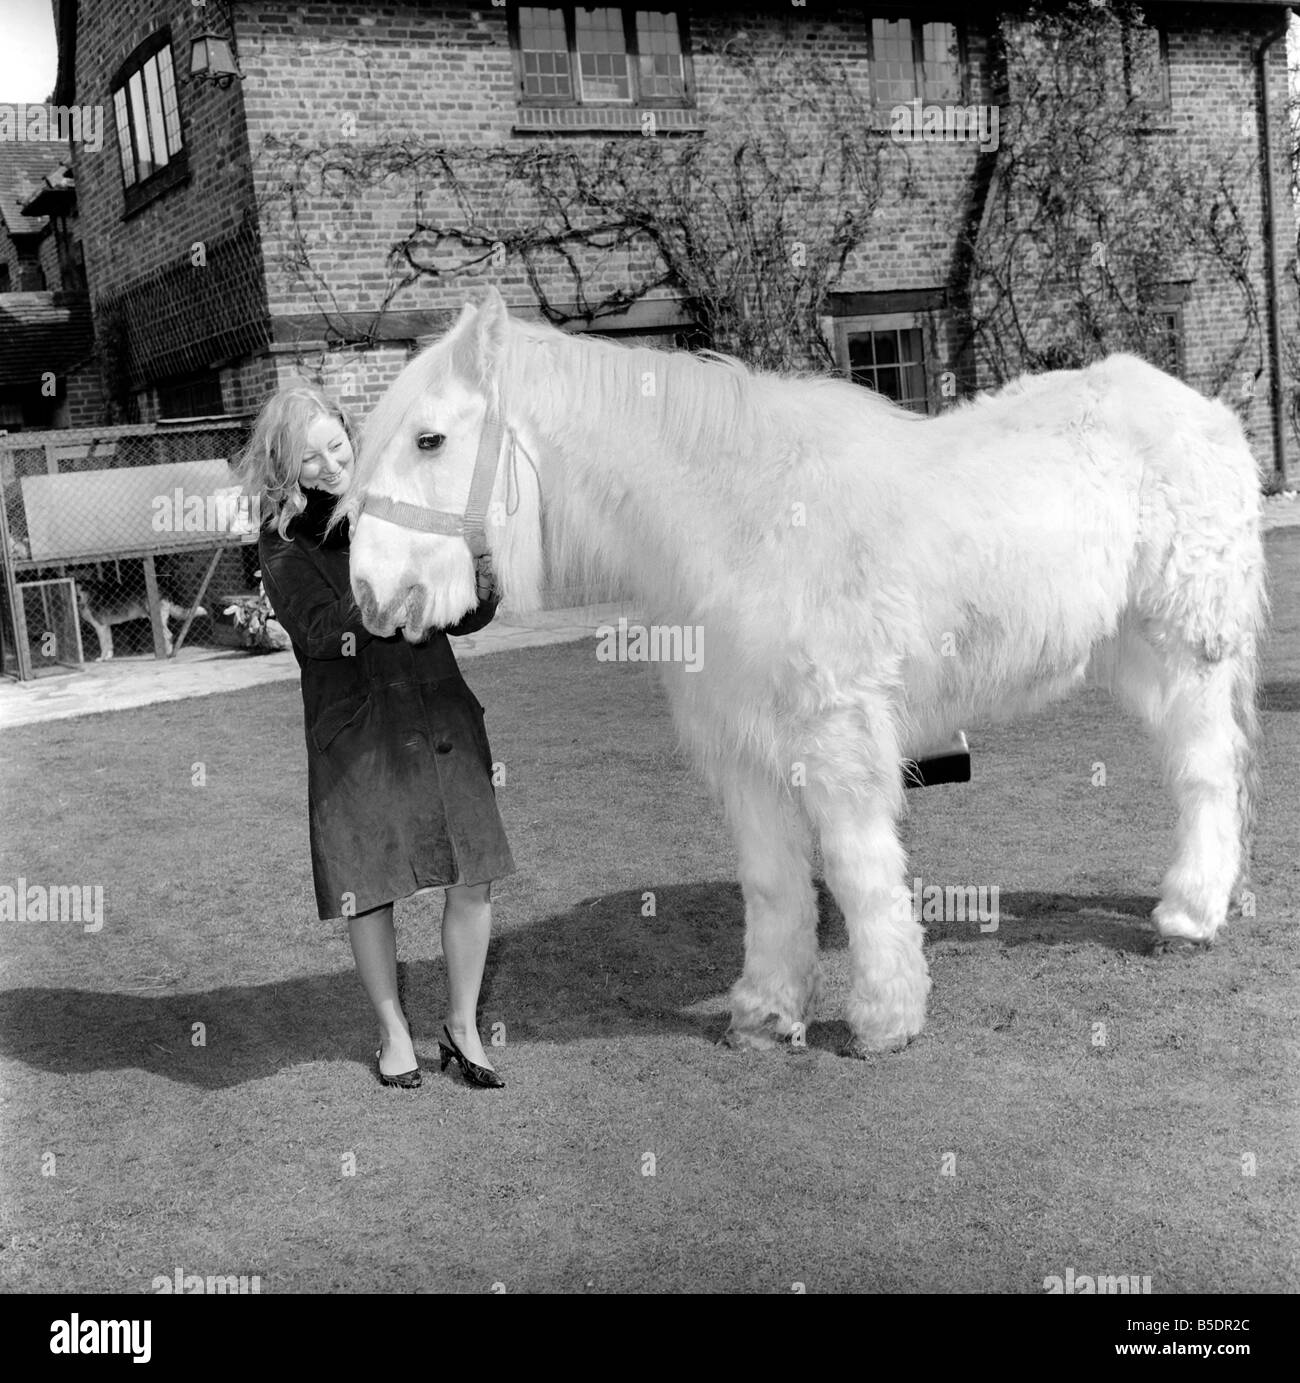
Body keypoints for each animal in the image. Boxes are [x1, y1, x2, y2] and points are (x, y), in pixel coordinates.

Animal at [340, 286, 1266, 1057]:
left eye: (430, 438)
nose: (372, 594)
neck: (743, 519)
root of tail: (1208, 415)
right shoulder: (743, 750)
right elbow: (774, 883)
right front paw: (765, 1013)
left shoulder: (838, 738)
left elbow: (858, 872)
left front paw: (885, 1021)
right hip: (1133, 653)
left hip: (1186, 647)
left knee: (1206, 770)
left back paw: (1189, 915)